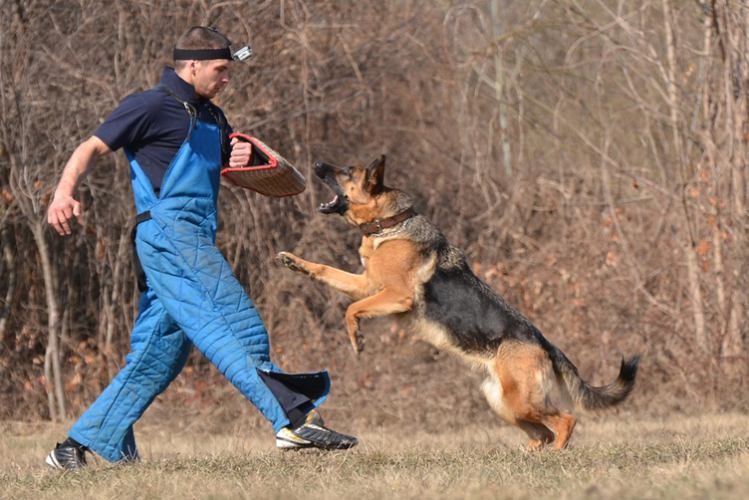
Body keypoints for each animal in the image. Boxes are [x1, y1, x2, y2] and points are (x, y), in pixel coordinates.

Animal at [278, 156, 640, 450]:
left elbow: (350, 309)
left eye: (345, 172)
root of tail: (547, 345)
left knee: (565, 421)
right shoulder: (366, 284)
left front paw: (357, 340)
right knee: (542, 434)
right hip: (503, 403)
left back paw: (557, 457)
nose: (315, 164)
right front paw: (294, 262)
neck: (390, 225)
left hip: (520, 402)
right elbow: (326, 271)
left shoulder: (394, 296)